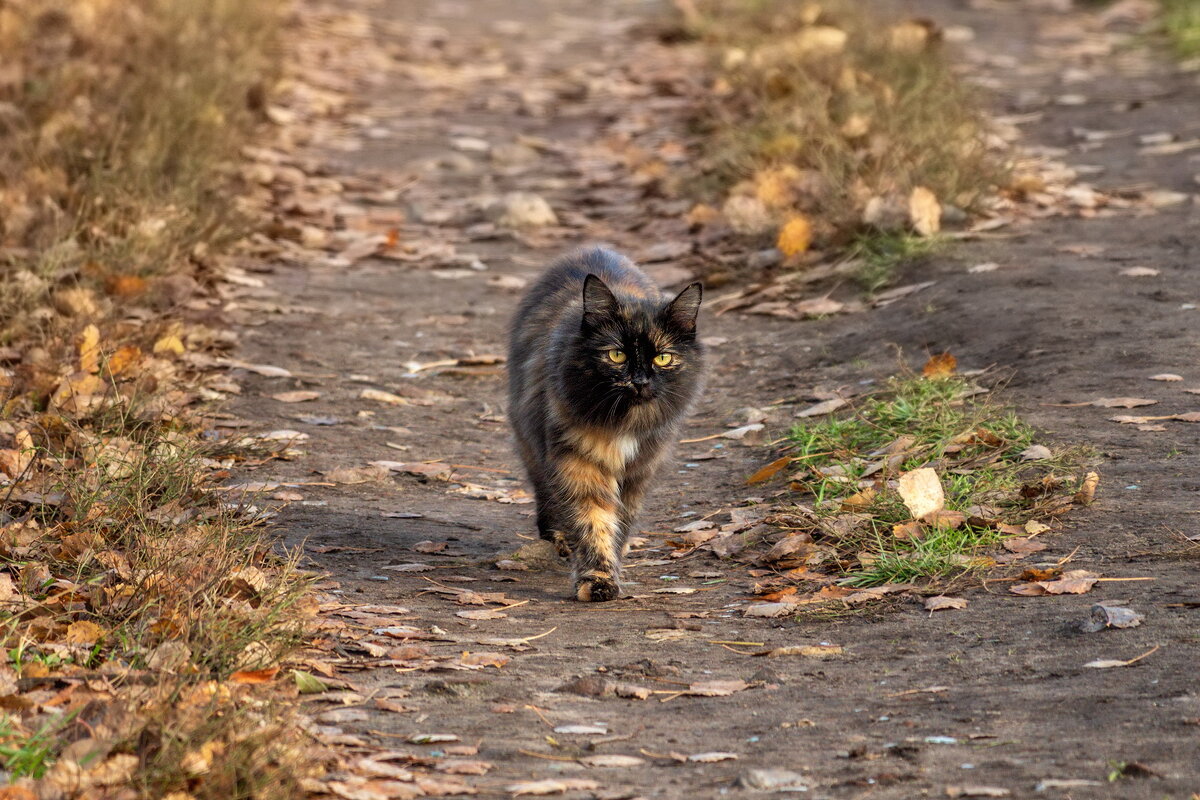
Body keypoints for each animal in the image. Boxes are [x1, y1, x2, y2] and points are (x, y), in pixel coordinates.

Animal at [506, 247, 700, 604]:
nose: (639, 382)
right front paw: (597, 580)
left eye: (663, 358)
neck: (622, 424)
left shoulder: (638, 471)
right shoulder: (578, 463)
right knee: (545, 494)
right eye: (617, 355)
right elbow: (592, 521)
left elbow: (619, 523)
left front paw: (612, 561)